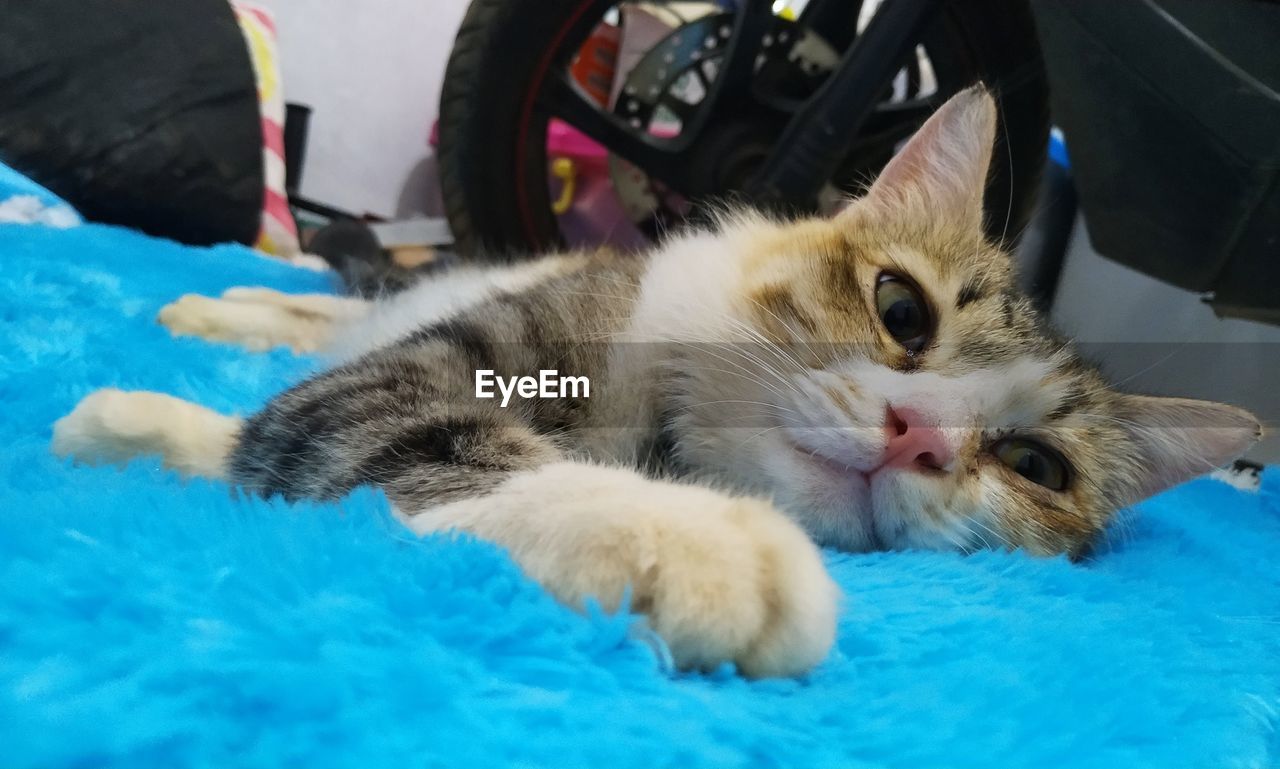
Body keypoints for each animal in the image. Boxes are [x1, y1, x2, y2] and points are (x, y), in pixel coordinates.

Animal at [52, 87, 1259, 675]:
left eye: (1032, 465)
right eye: (902, 311)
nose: (916, 433)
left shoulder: (352, 395)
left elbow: (268, 436)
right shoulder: (423, 371)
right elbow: (428, 440)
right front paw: (693, 539)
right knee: (330, 308)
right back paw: (208, 304)